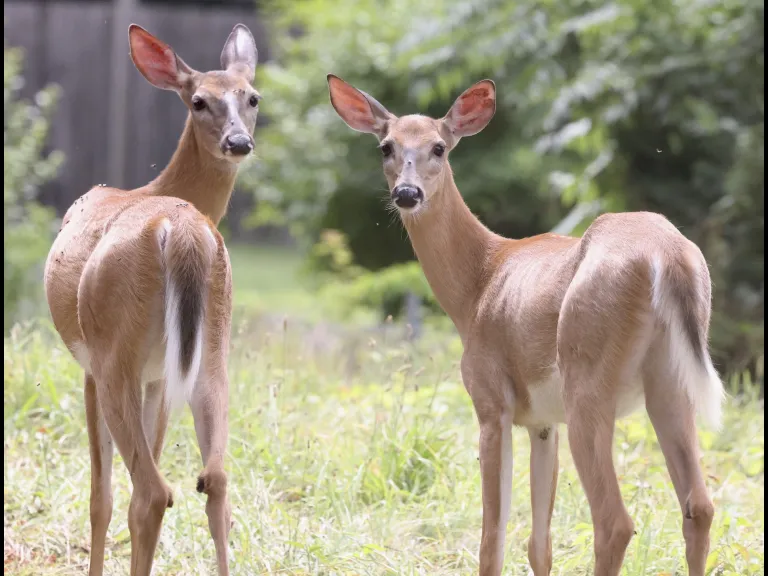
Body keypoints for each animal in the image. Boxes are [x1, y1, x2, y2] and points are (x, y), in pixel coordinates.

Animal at [43, 23, 260, 576]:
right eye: (199, 100)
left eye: (252, 97)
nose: (238, 141)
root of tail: (180, 229)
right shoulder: (161, 374)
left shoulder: (93, 366)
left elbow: (101, 497)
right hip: (214, 348)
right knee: (215, 481)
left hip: (114, 352)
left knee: (151, 492)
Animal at [327, 75, 724, 576]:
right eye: (386, 147)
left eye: (439, 147)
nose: (407, 194)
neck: (478, 283)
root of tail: (668, 254)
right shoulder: (542, 420)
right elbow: (539, 543)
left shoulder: (490, 400)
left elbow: (492, 538)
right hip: (670, 381)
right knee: (699, 506)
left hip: (588, 376)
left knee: (614, 521)